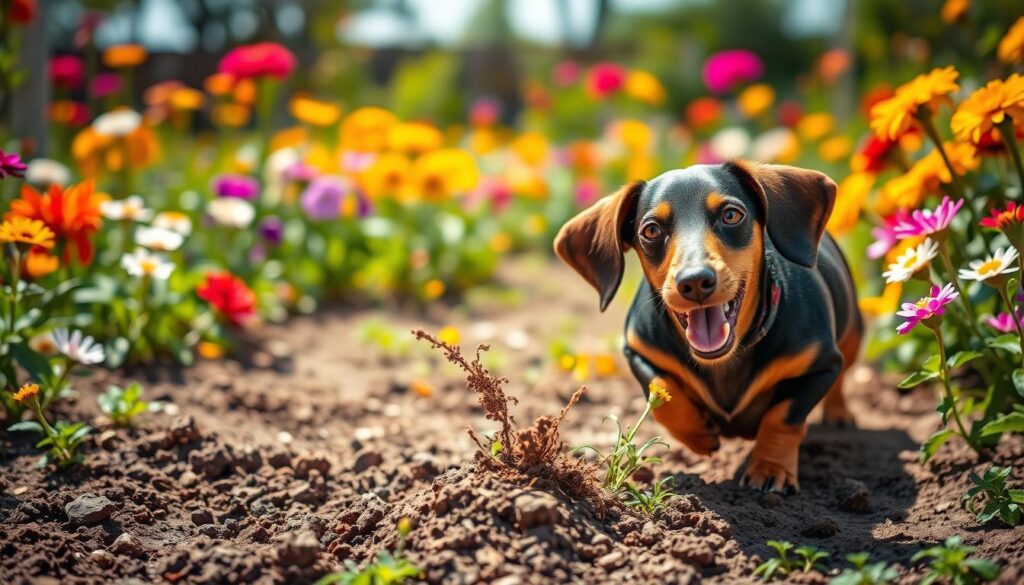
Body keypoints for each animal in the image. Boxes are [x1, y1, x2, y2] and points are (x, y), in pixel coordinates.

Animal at [557, 159, 860, 493]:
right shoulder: (637, 350)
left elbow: (783, 416)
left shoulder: (823, 365)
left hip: (853, 336)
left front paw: (770, 468)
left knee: (842, 379)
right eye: (651, 230)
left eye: (731, 214)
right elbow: (662, 392)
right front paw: (700, 436)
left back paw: (839, 414)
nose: (694, 281)